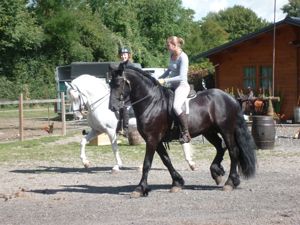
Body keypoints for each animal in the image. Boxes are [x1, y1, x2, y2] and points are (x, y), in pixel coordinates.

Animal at [108, 63, 255, 197]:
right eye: (110, 84)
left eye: (118, 84)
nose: (112, 107)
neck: (151, 103)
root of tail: (230, 98)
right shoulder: (157, 141)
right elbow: (166, 160)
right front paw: (177, 183)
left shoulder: (152, 139)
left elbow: (147, 164)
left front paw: (140, 188)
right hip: (209, 131)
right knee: (220, 147)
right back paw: (216, 173)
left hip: (226, 130)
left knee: (233, 151)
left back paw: (230, 182)